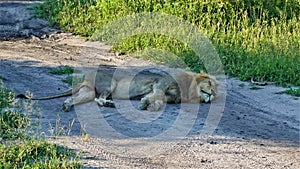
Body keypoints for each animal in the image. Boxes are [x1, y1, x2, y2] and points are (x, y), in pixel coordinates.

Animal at [60, 66, 218, 111]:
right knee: (99, 99)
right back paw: (110, 104)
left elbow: (159, 101)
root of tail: (85, 78)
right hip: (110, 84)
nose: (212, 94)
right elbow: (156, 95)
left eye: (216, 93)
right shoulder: (160, 84)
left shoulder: (168, 97)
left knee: (78, 99)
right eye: (210, 84)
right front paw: (144, 103)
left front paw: (150, 106)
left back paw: (66, 105)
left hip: (87, 92)